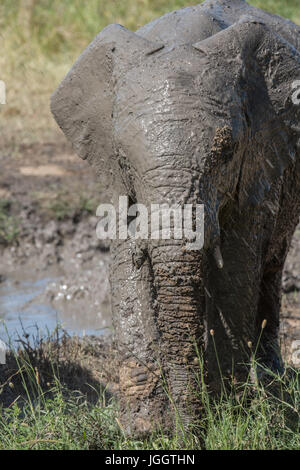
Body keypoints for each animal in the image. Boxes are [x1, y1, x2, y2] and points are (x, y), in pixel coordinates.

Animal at [51, 0, 300, 434]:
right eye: (122, 158)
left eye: (226, 153)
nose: (188, 434)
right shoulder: (117, 181)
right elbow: (125, 261)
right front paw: (145, 430)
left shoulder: (258, 162)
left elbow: (236, 271)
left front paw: (227, 419)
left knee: (270, 268)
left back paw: (273, 385)